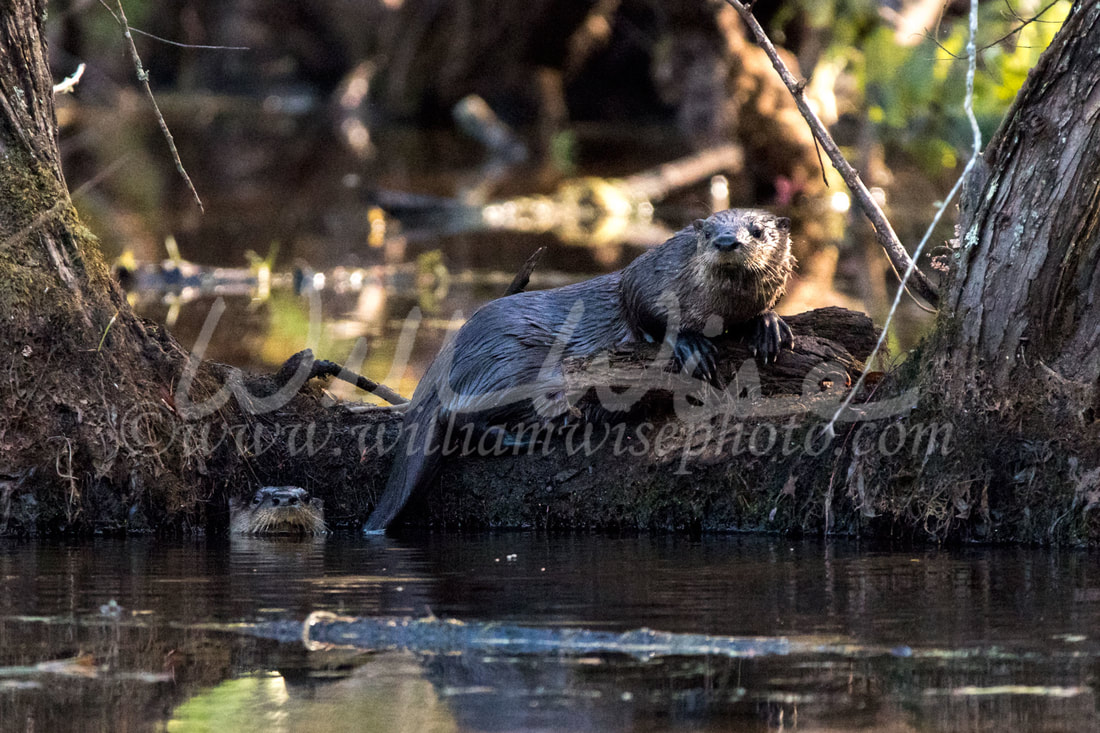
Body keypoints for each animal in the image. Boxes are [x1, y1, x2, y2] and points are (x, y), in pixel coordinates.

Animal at [365, 205, 796, 530]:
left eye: (757, 231)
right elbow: (646, 313)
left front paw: (768, 324)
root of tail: (445, 359)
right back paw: (533, 433)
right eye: (707, 234)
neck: (716, 310)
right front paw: (690, 343)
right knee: (462, 415)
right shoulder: (644, 280)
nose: (726, 241)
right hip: (509, 362)